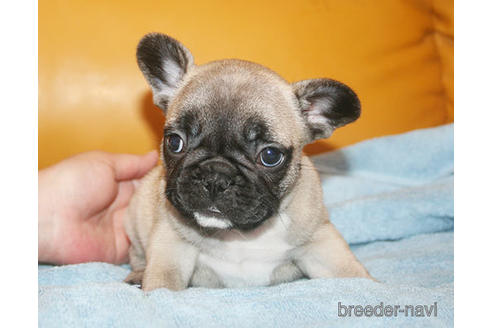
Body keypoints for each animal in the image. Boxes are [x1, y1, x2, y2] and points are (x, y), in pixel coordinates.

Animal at [124, 32, 372, 290]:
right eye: (175, 142)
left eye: (270, 156)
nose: (215, 177)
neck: (239, 235)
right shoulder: (171, 242)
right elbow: (163, 282)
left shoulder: (320, 241)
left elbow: (353, 276)